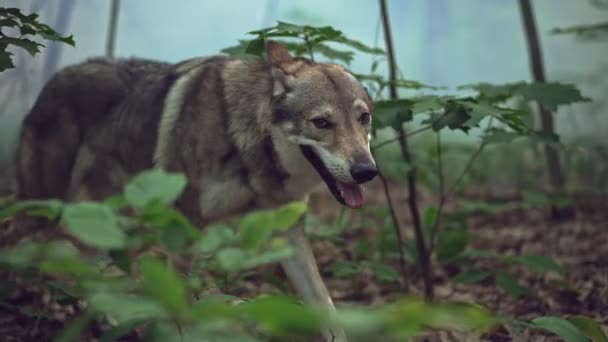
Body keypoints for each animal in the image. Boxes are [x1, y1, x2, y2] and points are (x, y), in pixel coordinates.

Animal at [10, 40, 376, 342]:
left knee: (88, 272)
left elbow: (324, 305)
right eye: (322, 123)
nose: (367, 172)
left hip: (110, 223)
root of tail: (55, 77)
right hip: (43, 211)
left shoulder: (288, 233)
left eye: (364, 118)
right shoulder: (184, 231)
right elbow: (185, 309)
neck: (251, 148)